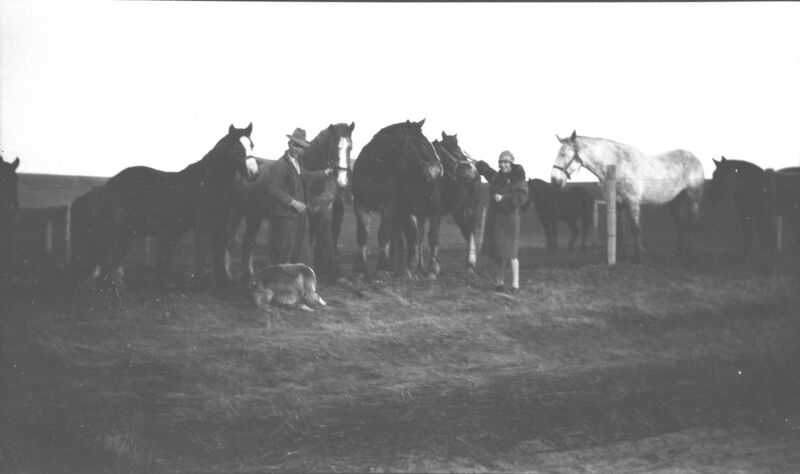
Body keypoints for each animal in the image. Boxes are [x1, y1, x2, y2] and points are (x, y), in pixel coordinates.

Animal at [90, 123, 259, 290]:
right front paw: (200, 283)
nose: (254, 173)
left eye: (252, 145)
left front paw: (223, 282)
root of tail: (113, 181)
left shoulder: (219, 224)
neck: (207, 181)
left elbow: (218, 252)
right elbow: (201, 253)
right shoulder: (202, 225)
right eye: (236, 148)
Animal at [233, 122, 355, 284]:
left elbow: (326, 239)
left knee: (248, 243)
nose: (342, 181)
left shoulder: (323, 214)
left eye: (350, 147)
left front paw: (334, 273)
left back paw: (248, 277)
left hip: (254, 216)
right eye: (334, 147)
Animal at [351, 119, 443, 276]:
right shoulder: (359, 205)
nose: (438, 171)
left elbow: (383, 235)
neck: (374, 171)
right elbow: (362, 235)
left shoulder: (388, 208)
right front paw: (360, 268)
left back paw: (430, 269)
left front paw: (382, 266)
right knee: (410, 237)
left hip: (431, 209)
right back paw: (406, 266)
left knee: (430, 236)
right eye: (422, 143)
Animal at [407, 131, 481, 278]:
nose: (473, 171)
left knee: (470, 232)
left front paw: (432, 270)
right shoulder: (416, 213)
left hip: (469, 209)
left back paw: (470, 266)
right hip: (458, 212)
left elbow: (433, 237)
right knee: (466, 232)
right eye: (456, 151)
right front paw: (416, 267)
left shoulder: (435, 213)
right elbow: (417, 236)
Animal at [551, 131, 704, 261]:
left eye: (563, 154)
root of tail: (695, 159)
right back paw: (680, 251)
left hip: (693, 199)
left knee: (692, 222)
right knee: (681, 225)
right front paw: (621, 255)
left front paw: (640, 256)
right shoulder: (618, 204)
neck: (617, 166)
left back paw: (689, 251)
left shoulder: (633, 202)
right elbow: (620, 230)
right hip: (674, 203)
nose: (554, 180)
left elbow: (635, 228)